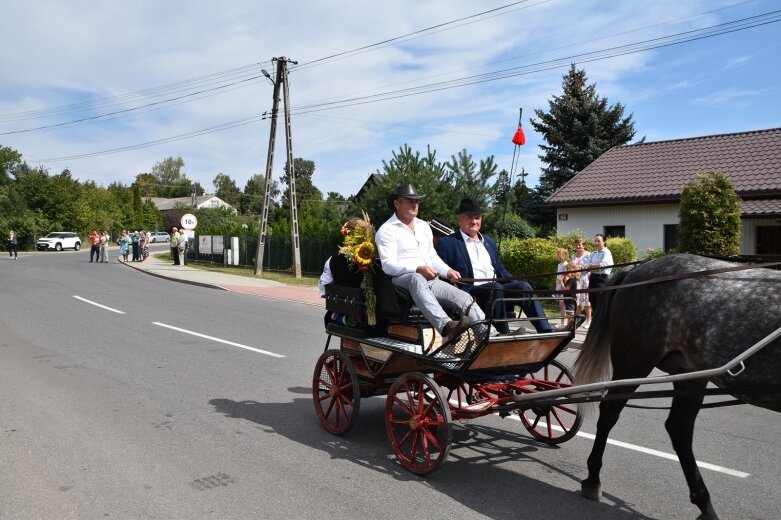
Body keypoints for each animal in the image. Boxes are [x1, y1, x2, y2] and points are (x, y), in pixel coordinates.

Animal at [572, 254, 780, 520]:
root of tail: (637, 269)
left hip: (689, 374)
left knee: (679, 428)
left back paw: (705, 504)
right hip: (633, 361)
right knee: (610, 413)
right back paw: (593, 478)